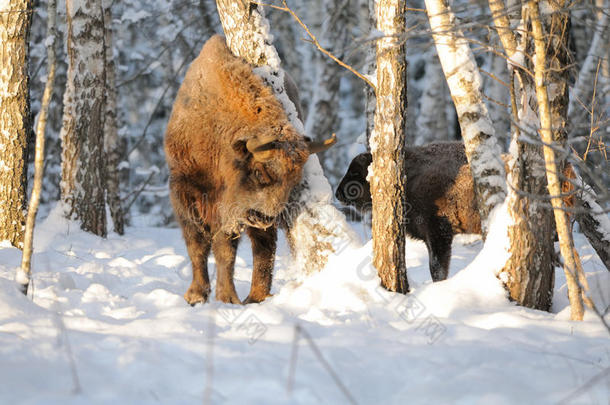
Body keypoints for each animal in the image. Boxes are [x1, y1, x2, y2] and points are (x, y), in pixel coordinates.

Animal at [165, 36, 332, 304]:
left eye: (294, 182)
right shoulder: (183, 189)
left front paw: (227, 298)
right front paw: (196, 295)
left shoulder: (231, 212)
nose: (264, 217)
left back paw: (256, 297)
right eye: (258, 172)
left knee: (263, 247)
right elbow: (197, 244)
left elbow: (226, 249)